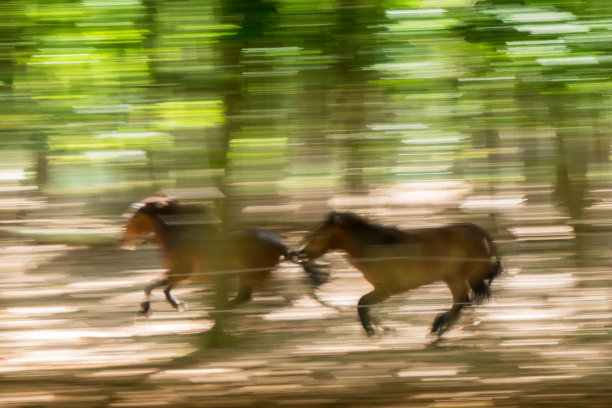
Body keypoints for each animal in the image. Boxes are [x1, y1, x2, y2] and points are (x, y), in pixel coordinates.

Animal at [121, 197, 328, 318]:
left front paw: (147, 309)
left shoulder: (182, 273)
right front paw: (177, 304)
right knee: (248, 296)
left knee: (257, 295)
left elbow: (152, 285)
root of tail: (277, 242)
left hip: (254, 274)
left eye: (133, 220)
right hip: (250, 275)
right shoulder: (181, 275)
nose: (122, 241)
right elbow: (162, 287)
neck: (177, 235)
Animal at [292, 212, 502, 336]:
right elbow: (364, 305)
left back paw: (437, 328)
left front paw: (373, 330)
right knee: (463, 301)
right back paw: (441, 329)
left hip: (458, 277)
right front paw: (379, 327)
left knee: (461, 301)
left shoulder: (387, 289)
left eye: (320, 233)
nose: (300, 253)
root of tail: (484, 235)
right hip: (457, 278)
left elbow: (361, 303)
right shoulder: (380, 289)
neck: (373, 246)